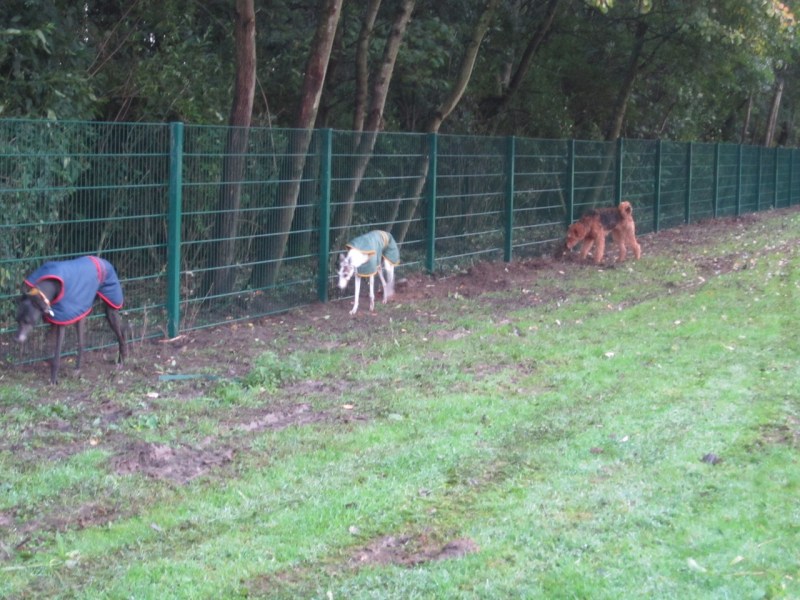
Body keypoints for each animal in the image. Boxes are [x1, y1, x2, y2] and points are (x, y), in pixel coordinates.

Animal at [15, 256, 127, 384]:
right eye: (17, 320)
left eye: (27, 321)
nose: (16, 339)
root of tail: (104, 261)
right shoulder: (55, 321)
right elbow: (49, 347)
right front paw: (50, 365)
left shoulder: (68, 320)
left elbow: (64, 350)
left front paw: (55, 378)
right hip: (101, 312)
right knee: (121, 330)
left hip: (110, 306)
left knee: (118, 335)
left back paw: (120, 361)